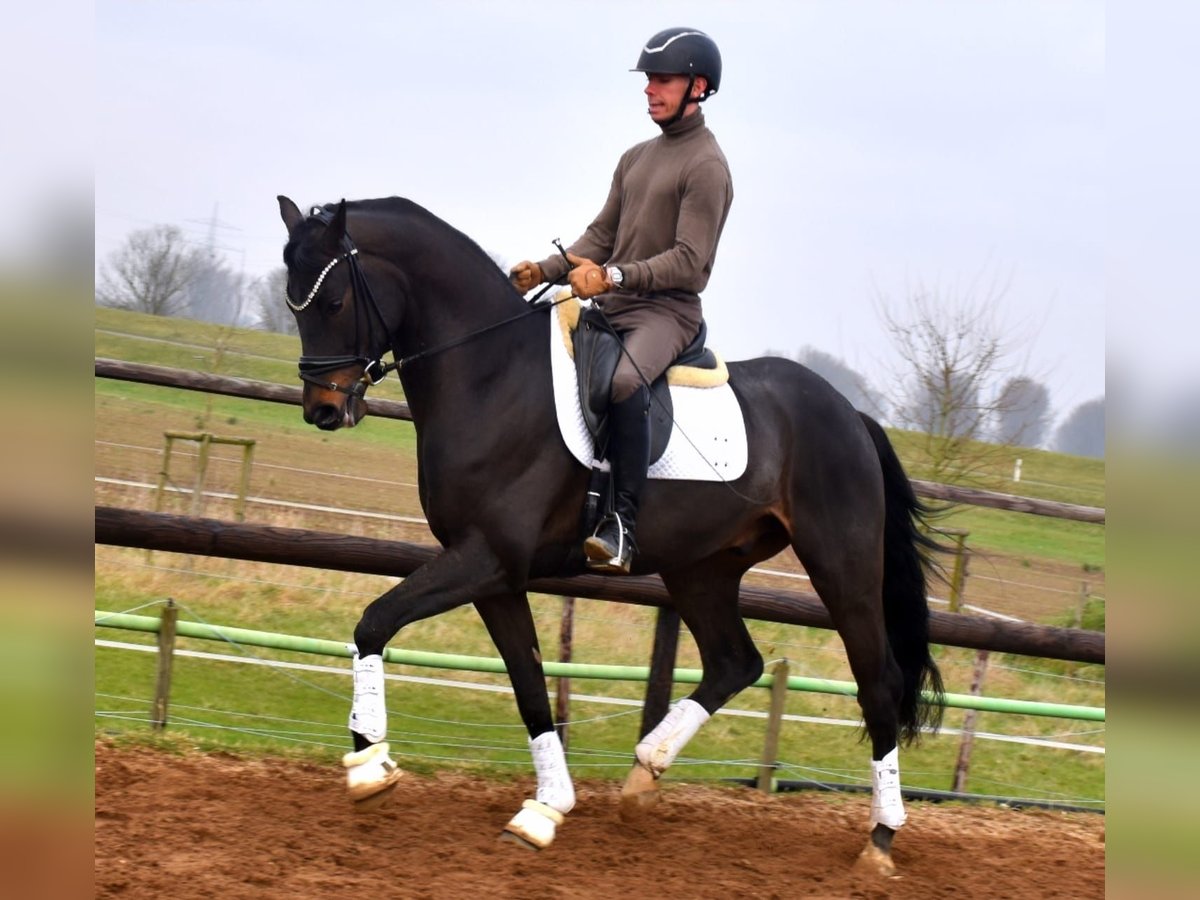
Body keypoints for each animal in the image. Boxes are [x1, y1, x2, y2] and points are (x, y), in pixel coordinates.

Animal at [276, 195, 940, 873]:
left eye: (333, 303)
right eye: (292, 303)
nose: (323, 410)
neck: (491, 376)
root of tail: (850, 414)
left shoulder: (485, 558)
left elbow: (375, 622)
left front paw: (368, 766)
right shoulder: (495, 575)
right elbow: (530, 687)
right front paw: (544, 809)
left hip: (841, 567)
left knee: (877, 682)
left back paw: (880, 838)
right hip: (700, 569)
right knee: (736, 661)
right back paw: (645, 774)